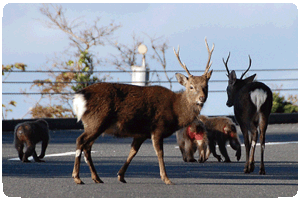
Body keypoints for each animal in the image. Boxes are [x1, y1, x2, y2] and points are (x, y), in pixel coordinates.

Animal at [72, 37, 214, 185]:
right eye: (191, 86)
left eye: (206, 86)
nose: (201, 98)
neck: (175, 112)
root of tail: (79, 98)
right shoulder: (157, 128)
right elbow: (160, 153)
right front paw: (166, 178)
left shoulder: (141, 133)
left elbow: (133, 152)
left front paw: (121, 176)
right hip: (97, 121)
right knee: (80, 141)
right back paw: (77, 177)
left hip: (94, 124)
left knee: (87, 146)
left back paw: (97, 178)